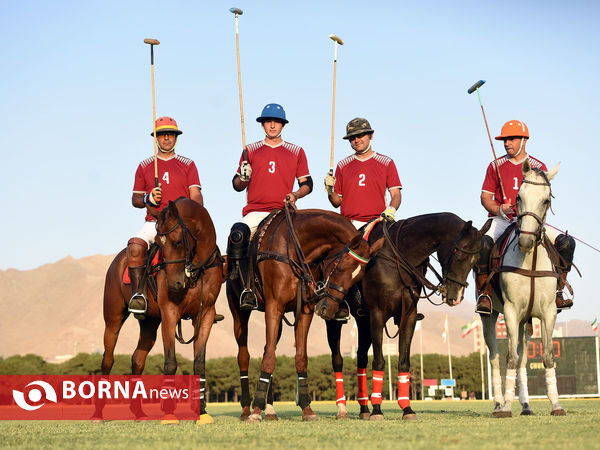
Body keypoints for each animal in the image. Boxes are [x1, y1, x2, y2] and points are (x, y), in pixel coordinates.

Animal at [92, 199, 224, 424]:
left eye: (178, 242)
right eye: (159, 245)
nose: (174, 283)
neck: (196, 269)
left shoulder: (205, 315)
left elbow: (199, 363)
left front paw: (202, 413)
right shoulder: (170, 313)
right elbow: (170, 362)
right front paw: (169, 414)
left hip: (150, 323)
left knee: (137, 359)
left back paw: (139, 413)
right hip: (113, 318)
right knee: (107, 359)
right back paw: (98, 414)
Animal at [227, 207, 382, 422]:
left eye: (357, 278)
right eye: (340, 268)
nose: (327, 309)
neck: (295, 248)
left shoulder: (304, 311)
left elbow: (300, 356)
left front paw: (307, 408)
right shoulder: (274, 306)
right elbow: (269, 358)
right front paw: (256, 410)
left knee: (268, 348)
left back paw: (270, 409)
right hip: (239, 311)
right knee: (244, 355)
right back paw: (245, 410)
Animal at [324, 213, 488, 420]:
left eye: (475, 261)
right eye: (458, 255)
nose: (455, 297)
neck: (397, 259)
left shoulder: (408, 317)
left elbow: (403, 361)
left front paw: (406, 408)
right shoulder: (377, 314)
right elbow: (379, 361)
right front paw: (377, 409)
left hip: (363, 321)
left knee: (361, 358)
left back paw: (363, 409)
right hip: (334, 318)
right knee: (337, 359)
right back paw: (343, 408)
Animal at [480, 160, 564, 416]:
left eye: (546, 200)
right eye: (518, 197)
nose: (526, 240)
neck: (531, 261)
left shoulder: (547, 312)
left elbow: (546, 355)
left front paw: (556, 404)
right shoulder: (510, 310)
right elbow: (510, 358)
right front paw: (506, 405)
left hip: (526, 323)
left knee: (524, 356)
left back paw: (526, 404)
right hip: (490, 317)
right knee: (495, 356)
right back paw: (499, 403)